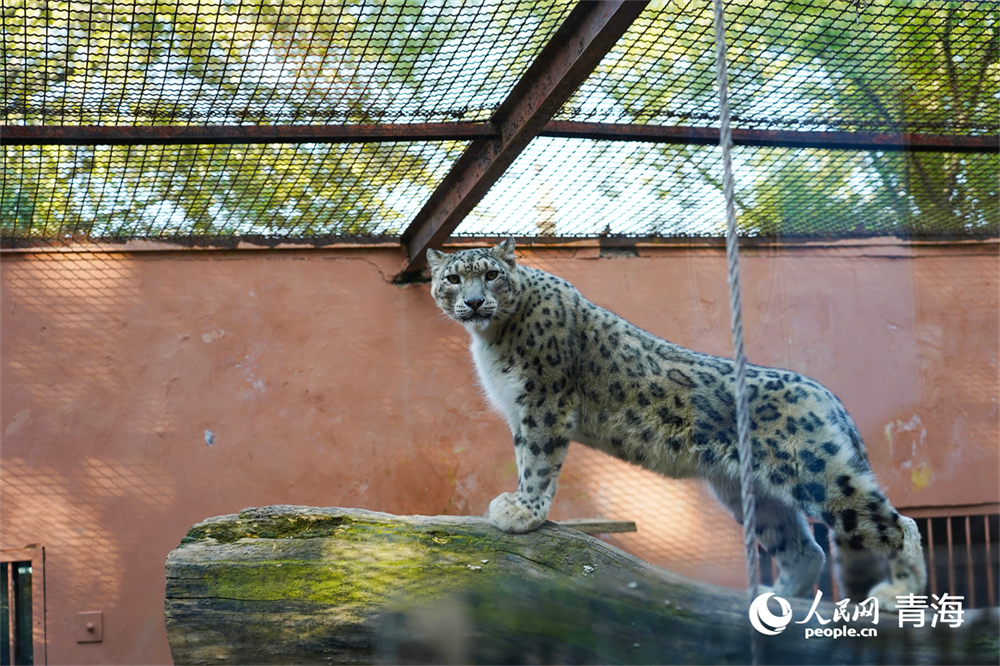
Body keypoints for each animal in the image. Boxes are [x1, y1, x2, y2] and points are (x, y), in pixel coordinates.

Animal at [426, 239, 924, 608]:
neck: (491, 340)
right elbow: (523, 456)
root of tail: (825, 393)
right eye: (453, 278)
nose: (474, 301)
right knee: (804, 549)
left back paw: (899, 591)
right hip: (749, 495)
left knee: (897, 525)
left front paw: (523, 511)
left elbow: (536, 461)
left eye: (491, 274)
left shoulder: (544, 403)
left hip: (815, 474)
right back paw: (772, 600)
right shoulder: (520, 410)